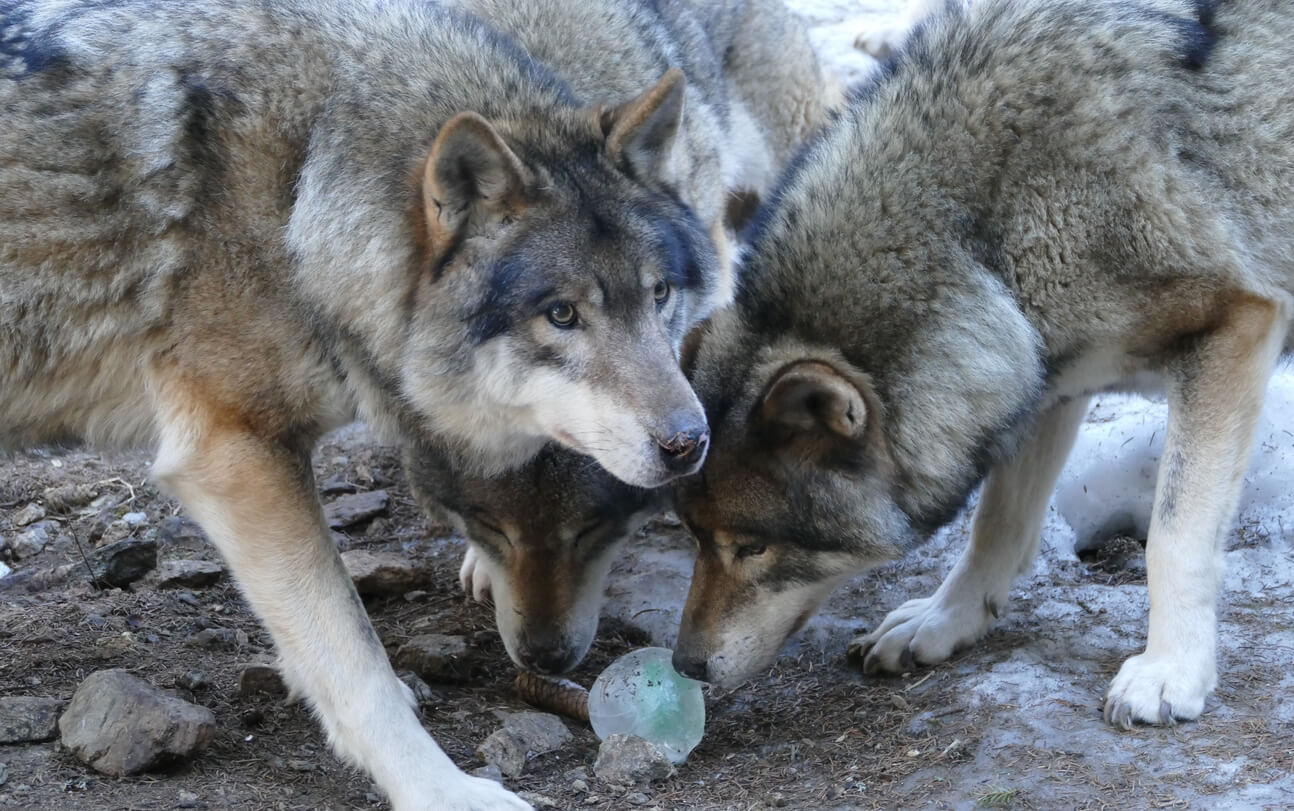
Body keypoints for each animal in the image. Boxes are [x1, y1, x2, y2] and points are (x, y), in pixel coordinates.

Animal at [0, 0, 755, 807]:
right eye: (561, 315)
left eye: (659, 294)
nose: (690, 443)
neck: (301, 191)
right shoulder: (235, 452)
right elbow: (356, 661)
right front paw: (441, 789)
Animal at [672, 0, 1288, 734]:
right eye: (692, 536)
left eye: (752, 547)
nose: (683, 665)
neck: (990, 233)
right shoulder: (1040, 379)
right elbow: (995, 525)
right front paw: (944, 622)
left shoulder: (1233, 328)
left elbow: (1173, 537)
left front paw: (1170, 672)